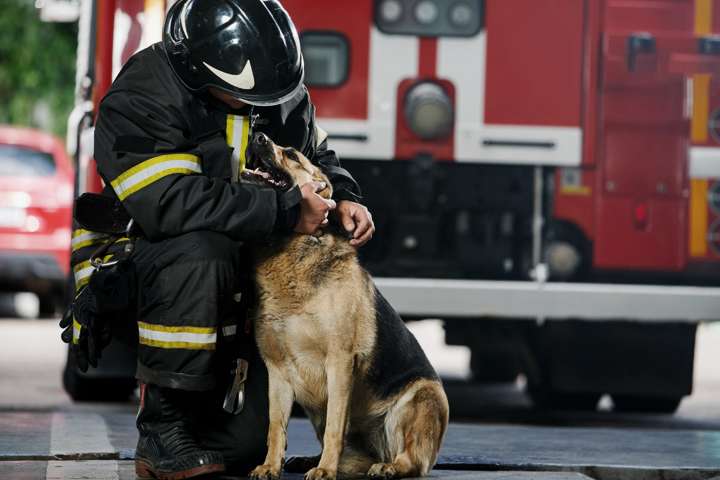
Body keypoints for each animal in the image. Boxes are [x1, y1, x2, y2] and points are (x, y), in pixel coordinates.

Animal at [242, 132, 448, 480]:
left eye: (292, 154)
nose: (258, 135)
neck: (292, 247)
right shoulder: (278, 370)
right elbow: (275, 426)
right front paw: (270, 466)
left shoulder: (339, 362)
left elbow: (335, 429)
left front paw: (325, 470)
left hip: (421, 398)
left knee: (412, 461)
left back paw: (387, 466)